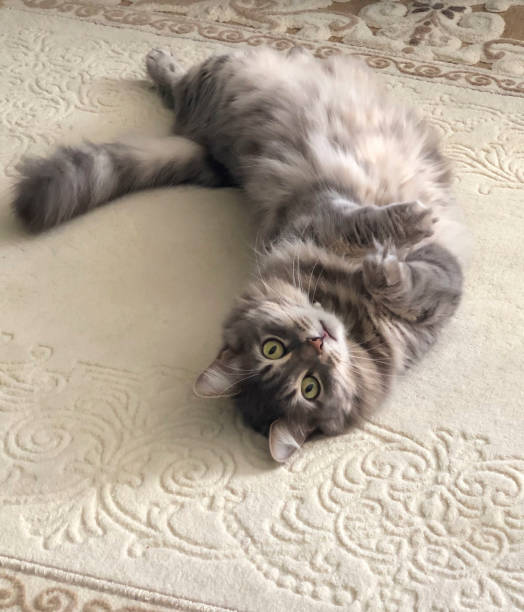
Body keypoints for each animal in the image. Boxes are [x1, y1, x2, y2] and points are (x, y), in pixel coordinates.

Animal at [11, 46, 466, 460]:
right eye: (306, 382)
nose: (318, 342)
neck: (346, 309)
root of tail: (209, 152)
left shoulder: (419, 281)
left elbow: (402, 268)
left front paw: (393, 249)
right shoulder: (326, 213)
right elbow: (388, 249)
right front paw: (399, 242)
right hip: (225, 72)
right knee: (180, 84)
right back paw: (157, 59)